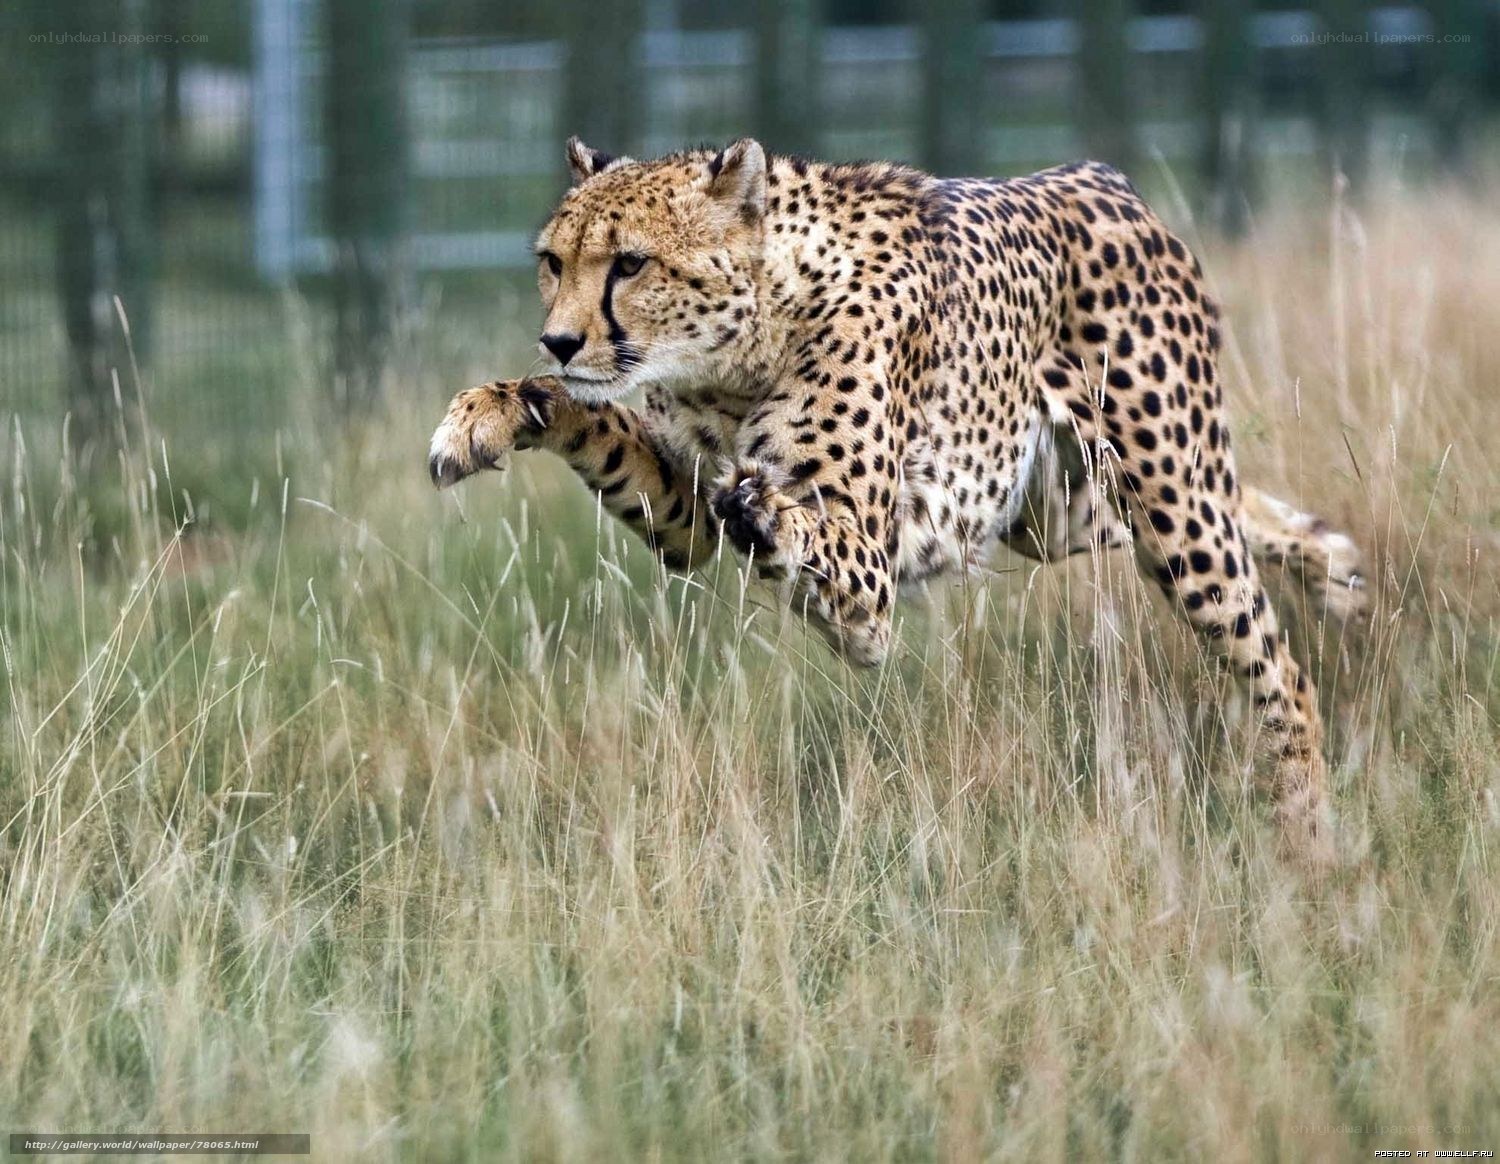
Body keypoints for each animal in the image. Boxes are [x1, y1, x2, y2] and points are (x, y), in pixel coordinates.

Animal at [428, 136, 1366, 858]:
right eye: (554, 262)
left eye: (630, 263)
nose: (558, 338)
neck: (735, 355)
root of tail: (1098, 175)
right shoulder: (684, 508)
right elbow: (598, 423)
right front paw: (490, 412)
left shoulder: (870, 589)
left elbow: (807, 529)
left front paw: (768, 511)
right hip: (1067, 512)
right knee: (1249, 513)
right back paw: (1337, 571)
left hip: (1170, 508)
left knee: (1278, 668)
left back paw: (1307, 836)